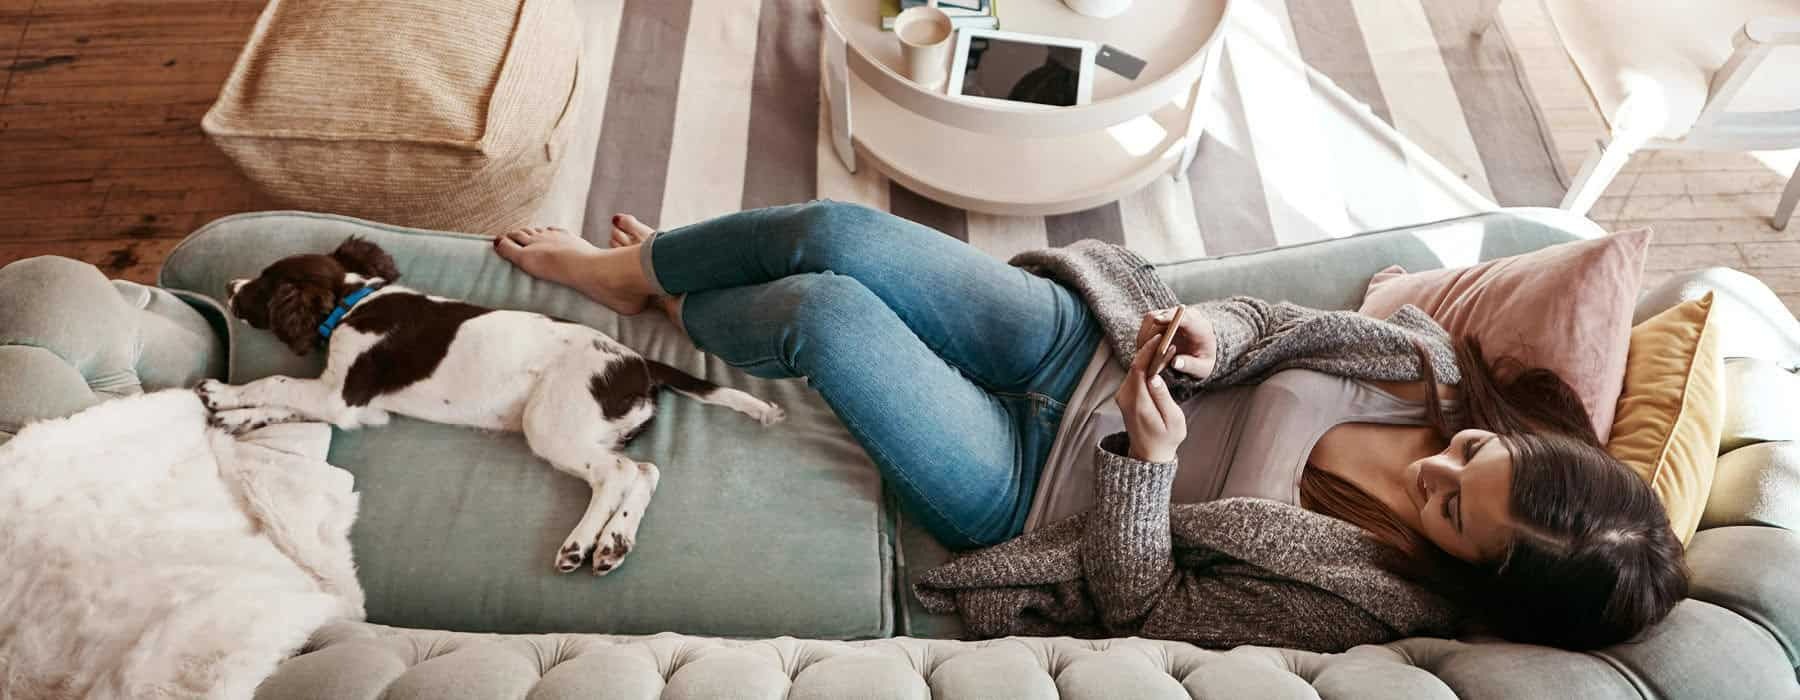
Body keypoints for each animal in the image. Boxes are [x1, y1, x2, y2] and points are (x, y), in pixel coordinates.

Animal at [200, 233, 784, 572]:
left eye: (262, 286)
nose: (228, 284)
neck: (353, 301)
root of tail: (637, 361)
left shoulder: (343, 395)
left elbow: (277, 381)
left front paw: (225, 394)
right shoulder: (353, 404)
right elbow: (285, 402)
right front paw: (236, 416)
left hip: (551, 423)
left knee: (615, 474)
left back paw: (580, 544)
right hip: (595, 429)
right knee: (644, 471)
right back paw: (613, 542)